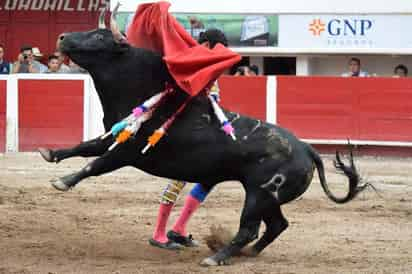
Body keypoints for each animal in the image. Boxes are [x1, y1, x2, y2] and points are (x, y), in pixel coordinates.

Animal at [39, 27, 364, 266]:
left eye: (98, 37)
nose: (62, 37)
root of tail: (307, 149)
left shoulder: (128, 152)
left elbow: (95, 164)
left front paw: (63, 181)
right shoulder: (116, 135)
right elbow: (85, 146)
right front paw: (51, 153)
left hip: (258, 195)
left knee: (250, 228)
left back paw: (217, 257)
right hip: (268, 198)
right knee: (276, 225)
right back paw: (246, 253)